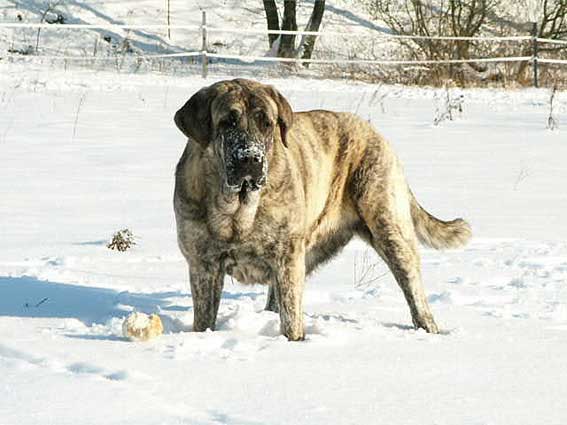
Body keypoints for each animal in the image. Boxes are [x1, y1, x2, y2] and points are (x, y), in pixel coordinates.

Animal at [172, 78, 470, 340]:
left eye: (266, 123)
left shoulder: (287, 258)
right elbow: (204, 319)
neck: (237, 210)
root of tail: (377, 134)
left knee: (414, 290)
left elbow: (292, 320)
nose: (250, 159)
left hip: (389, 230)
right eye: (228, 122)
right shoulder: (203, 265)